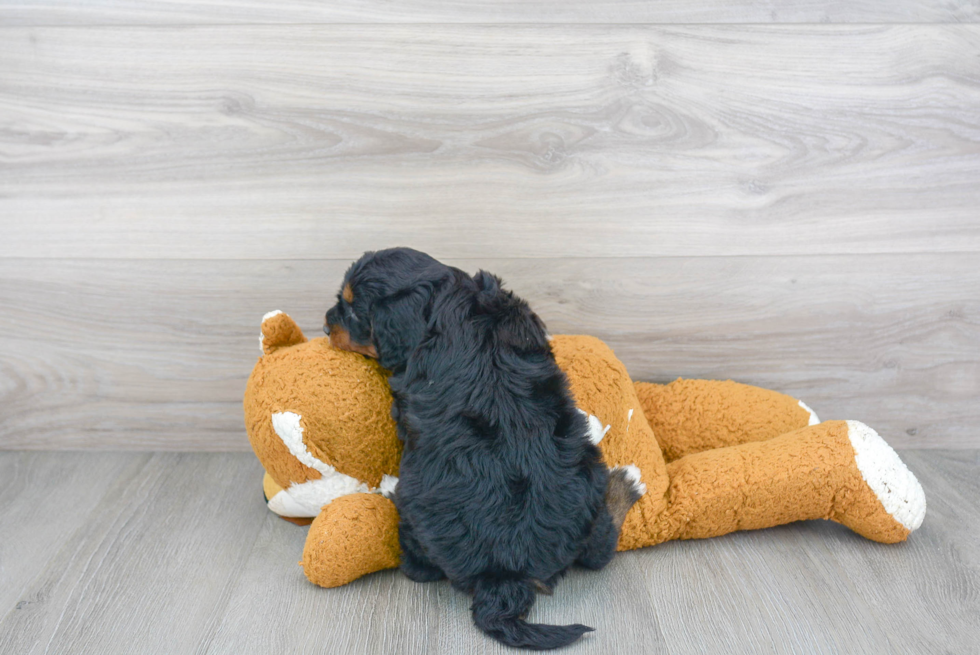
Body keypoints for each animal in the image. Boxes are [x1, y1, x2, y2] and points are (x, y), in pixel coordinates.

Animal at [324, 247, 644, 652]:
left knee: (418, 569)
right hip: (588, 482)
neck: (449, 298)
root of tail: (506, 574)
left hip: (415, 511)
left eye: (352, 312)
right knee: (600, 551)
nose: (325, 324)